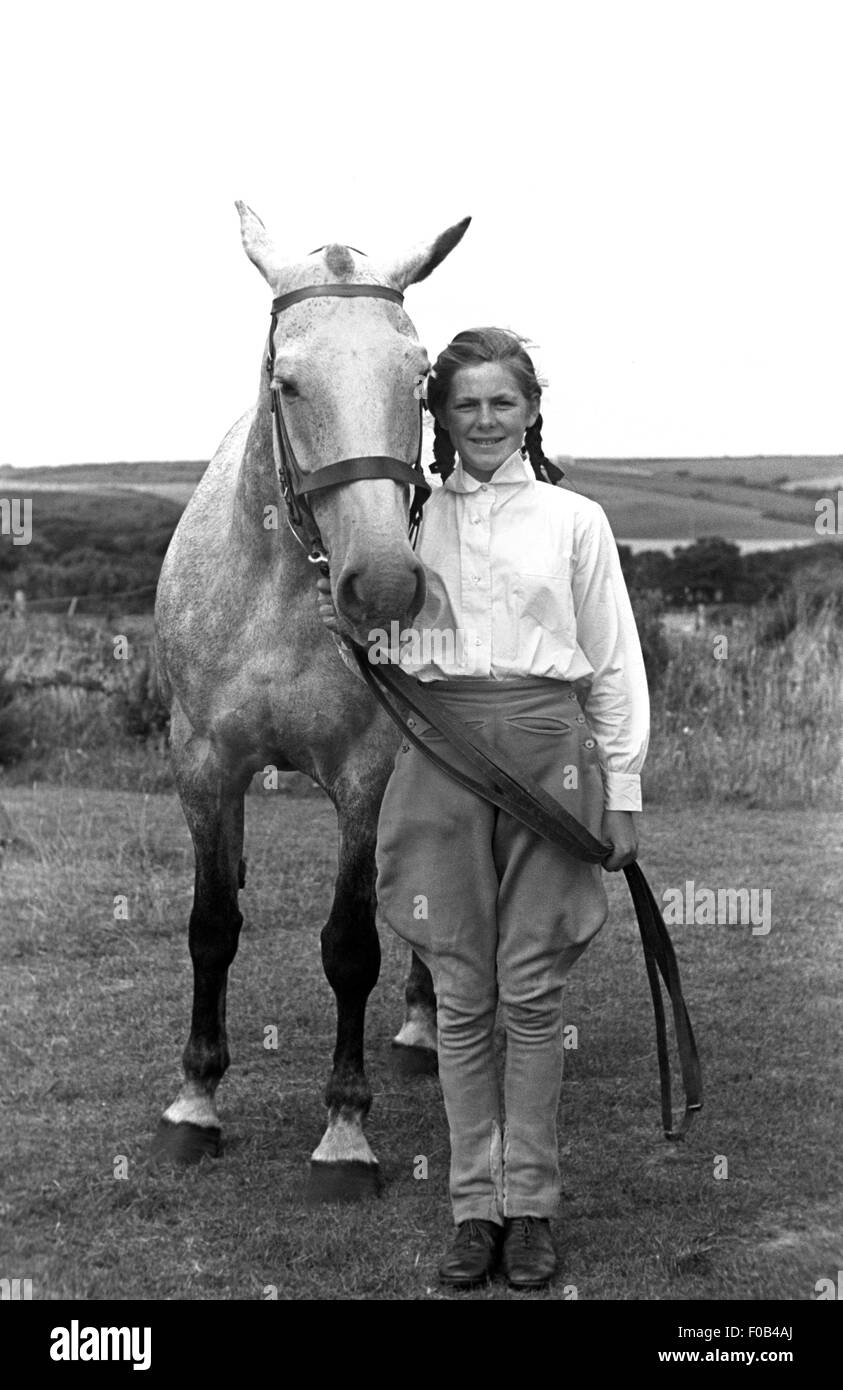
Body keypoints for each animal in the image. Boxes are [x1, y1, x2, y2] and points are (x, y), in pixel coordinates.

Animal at [155, 201, 472, 1200]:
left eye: (419, 378)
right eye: (287, 383)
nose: (384, 586)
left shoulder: (366, 775)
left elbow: (350, 944)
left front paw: (344, 1132)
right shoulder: (204, 766)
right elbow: (212, 925)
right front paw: (195, 1103)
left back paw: (419, 1027)